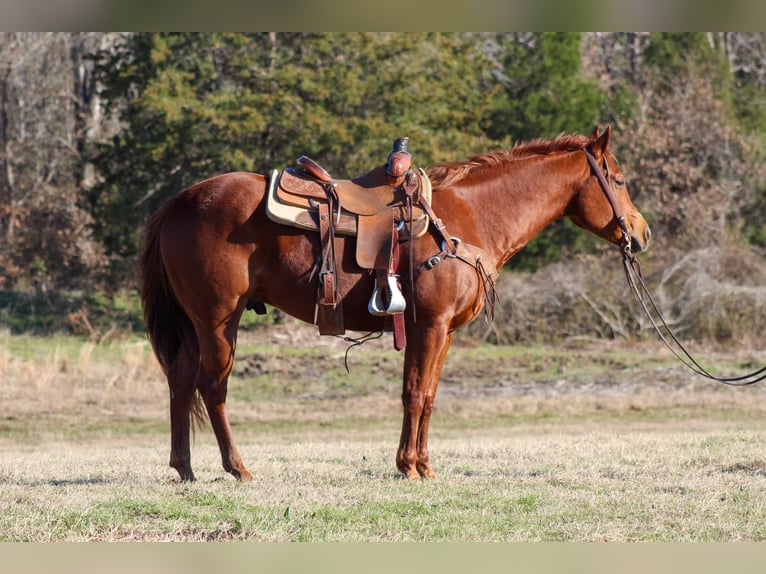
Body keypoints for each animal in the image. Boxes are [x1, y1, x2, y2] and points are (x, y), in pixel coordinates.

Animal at [141, 128, 652, 484]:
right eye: (620, 179)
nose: (642, 233)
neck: (469, 218)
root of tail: (179, 201)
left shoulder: (443, 332)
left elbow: (428, 396)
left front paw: (423, 465)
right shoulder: (429, 325)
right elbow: (414, 393)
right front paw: (408, 466)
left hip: (194, 324)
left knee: (181, 382)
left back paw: (184, 468)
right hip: (217, 320)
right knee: (213, 386)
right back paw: (237, 468)